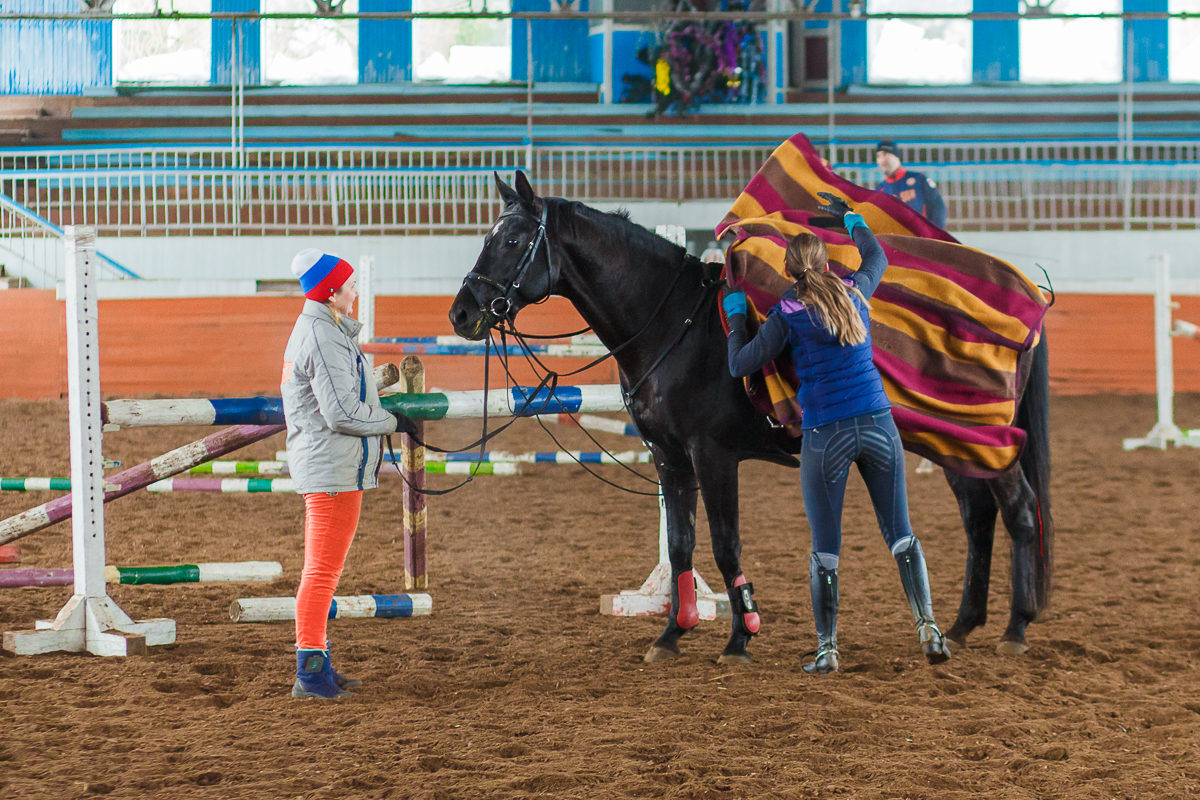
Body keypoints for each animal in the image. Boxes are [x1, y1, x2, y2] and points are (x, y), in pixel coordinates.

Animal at [451, 173, 1051, 662]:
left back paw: (1016, 629)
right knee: (978, 516)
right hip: (953, 447)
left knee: (1019, 513)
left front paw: (740, 637)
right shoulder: (670, 457)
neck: (674, 325)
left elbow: (725, 543)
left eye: (512, 240)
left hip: (988, 446)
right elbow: (681, 544)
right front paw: (672, 633)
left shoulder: (713, 456)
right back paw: (964, 624)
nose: (461, 312)